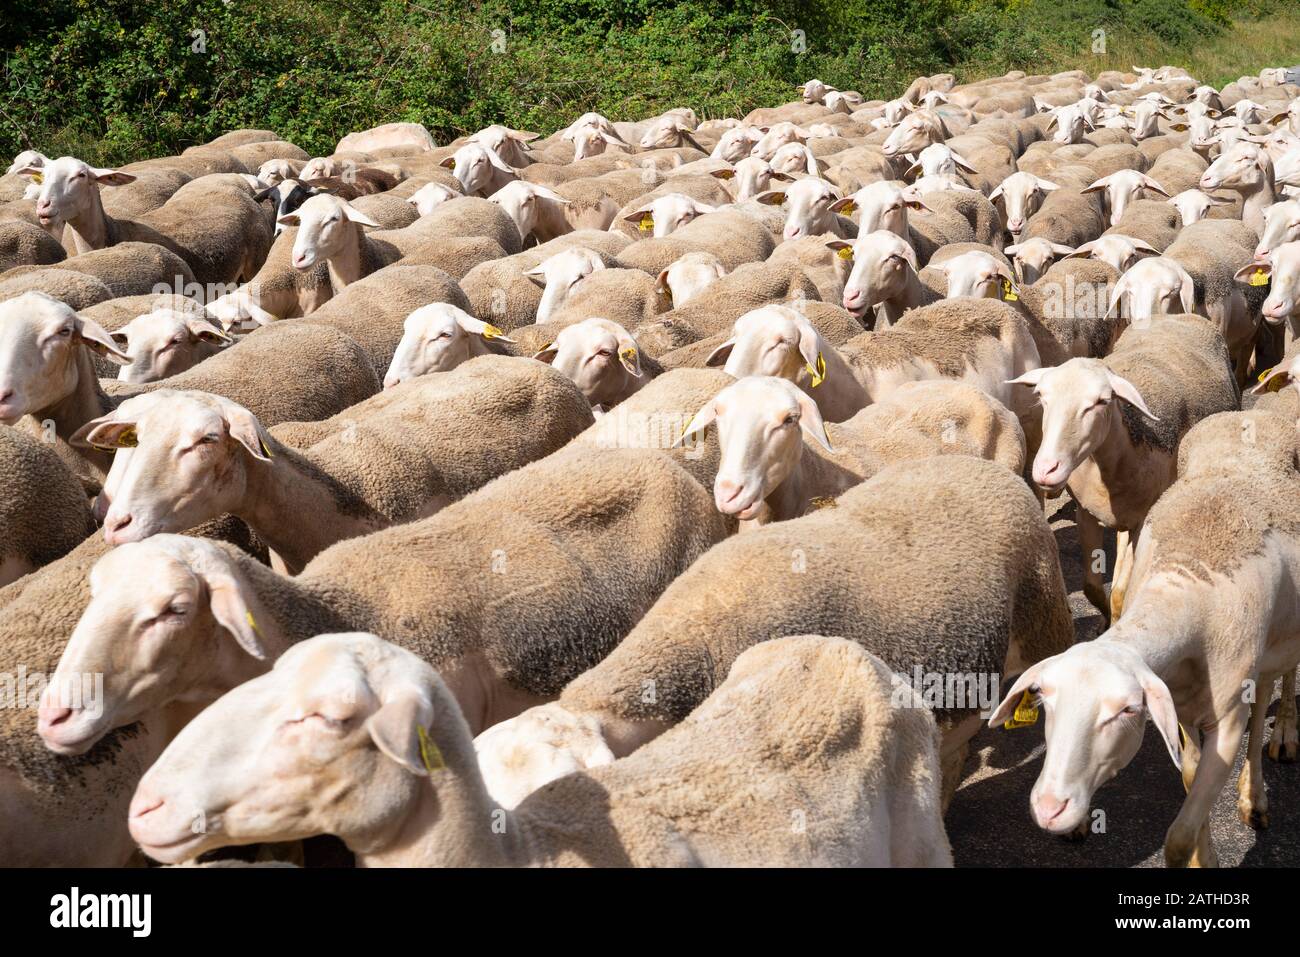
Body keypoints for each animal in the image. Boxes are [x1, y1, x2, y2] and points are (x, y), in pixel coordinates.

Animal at [989, 407, 1300, 866]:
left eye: (1127, 710)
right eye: (1044, 701)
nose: (1049, 809)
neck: (1184, 580)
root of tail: (1253, 412)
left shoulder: (1227, 722)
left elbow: (1179, 837)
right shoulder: (1181, 706)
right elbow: (1190, 780)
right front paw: (1206, 854)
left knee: (1273, 694)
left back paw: (1272, 761)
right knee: (1263, 694)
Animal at [1009, 315, 1239, 620]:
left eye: (1101, 402)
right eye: (1042, 397)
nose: (1046, 470)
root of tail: (1180, 315)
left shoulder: (1143, 521)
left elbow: (1119, 594)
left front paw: (1115, 616)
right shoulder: (1086, 512)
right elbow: (1091, 588)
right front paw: (1105, 617)